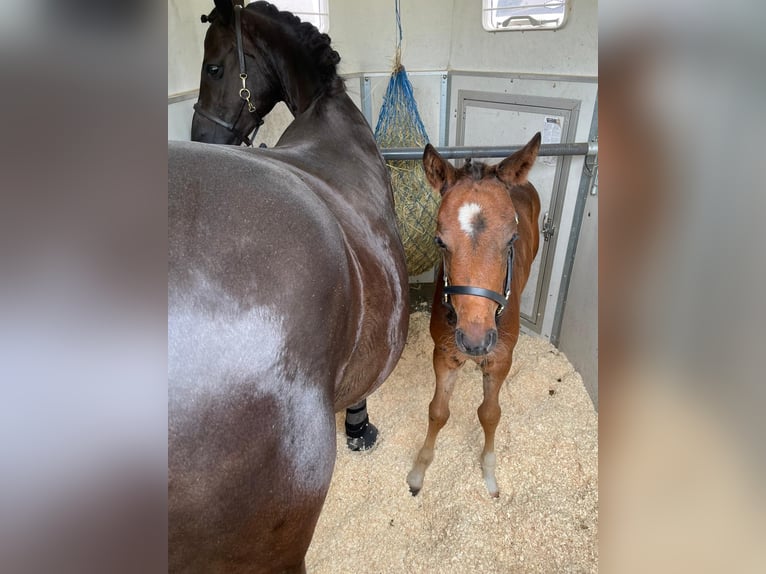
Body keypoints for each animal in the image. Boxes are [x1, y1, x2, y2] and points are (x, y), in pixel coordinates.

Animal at [406, 133, 542, 498]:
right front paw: (419, 471)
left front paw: (489, 473)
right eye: (439, 241)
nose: (475, 342)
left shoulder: (500, 358)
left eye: (512, 239)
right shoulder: (444, 353)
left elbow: (490, 413)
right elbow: (437, 411)